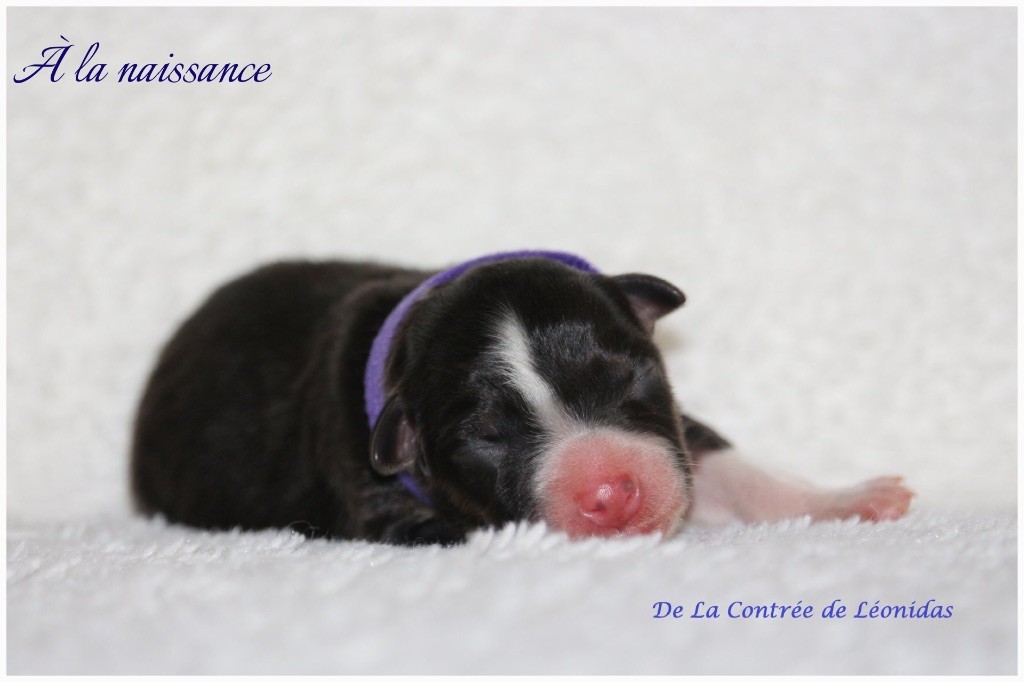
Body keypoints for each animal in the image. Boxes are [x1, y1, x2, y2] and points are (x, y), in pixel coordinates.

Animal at [130, 251, 913, 545]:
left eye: (627, 378)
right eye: (487, 435)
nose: (613, 493)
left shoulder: (677, 429)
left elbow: (723, 460)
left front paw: (847, 500)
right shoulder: (384, 509)